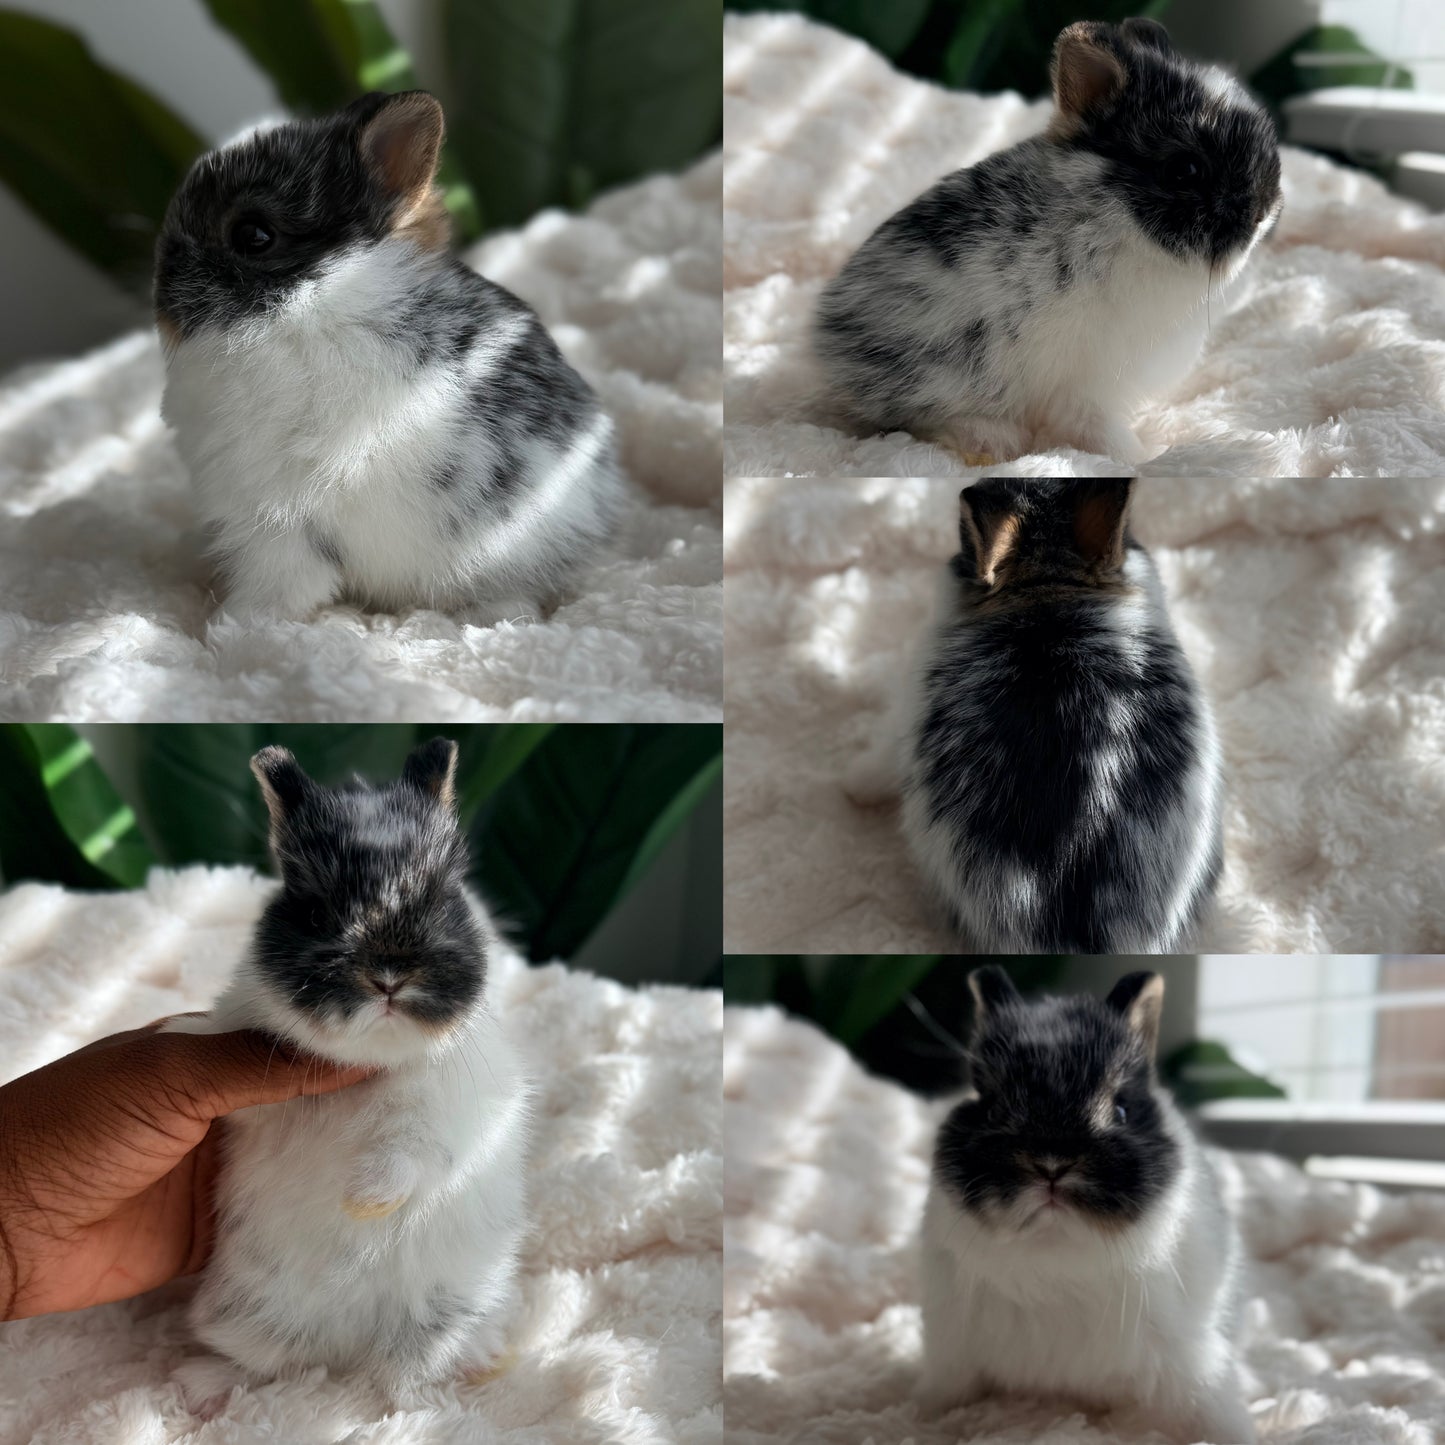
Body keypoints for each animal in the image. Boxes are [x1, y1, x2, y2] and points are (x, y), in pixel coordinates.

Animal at [153, 90, 624, 625]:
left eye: (253, 235)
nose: (160, 297)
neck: (316, 308)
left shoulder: (275, 521)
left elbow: (280, 586)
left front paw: (230, 626)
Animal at [164, 737, 532, 1408]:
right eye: (313, 912)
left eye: (442, 900)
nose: (387, 975)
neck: (372, 1060)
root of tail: (345, 1353)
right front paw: (177, 1033)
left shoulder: (450, 1118)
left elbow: (409, 1156)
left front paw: (361, 1203)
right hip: (246, 1310)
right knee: (268, 1365)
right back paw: (200, 1385)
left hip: (443, 1314)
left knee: (405, 1378)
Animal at [814, 18, 1282, 464]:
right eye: (1185, 170)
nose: (1263, 212)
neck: (1116, 220)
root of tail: (827, 346)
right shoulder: (1089, 383)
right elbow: (1095, 428)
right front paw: (1140, 457)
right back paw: (991, 440)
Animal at [919, 966, 1256, 1444]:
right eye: (992, 1110)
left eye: (1121, 1111)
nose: (1051, 1165)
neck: (1055, 1251)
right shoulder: (951, 1354)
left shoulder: (1191, 1362)